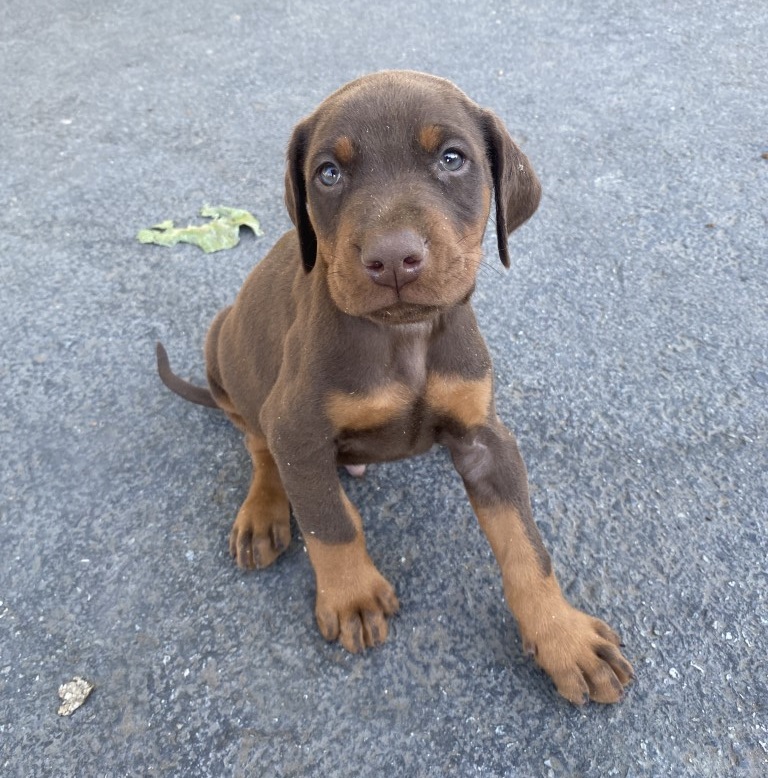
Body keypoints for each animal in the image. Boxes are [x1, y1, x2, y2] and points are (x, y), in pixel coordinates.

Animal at [156, 71, 632, 704]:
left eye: (452, 159)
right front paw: (353, 597)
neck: (403, 337)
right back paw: (263, 510)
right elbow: (330, 524)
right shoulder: (298, 431)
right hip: (222, 344)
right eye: (328, 173)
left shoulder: (486, 440)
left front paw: (563, 637)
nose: (393, 259)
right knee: (259, 444)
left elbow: (528, 548)